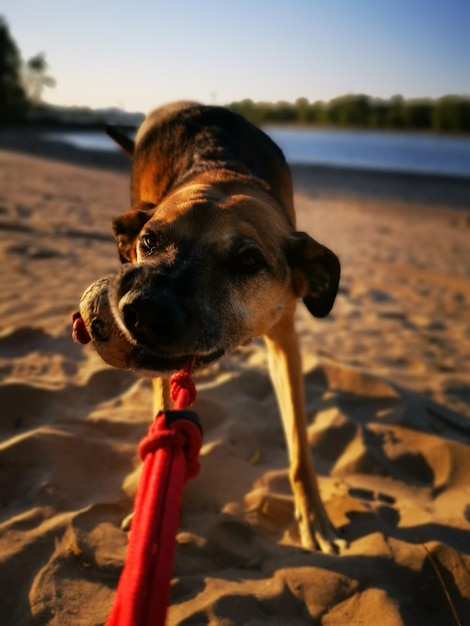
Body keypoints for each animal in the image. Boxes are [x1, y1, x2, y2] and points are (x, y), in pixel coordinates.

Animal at [105, 102, 342, 552]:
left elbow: (300, 442)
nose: (143, 312)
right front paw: (156, 508)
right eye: (150, 241)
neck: (223, 174)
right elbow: (166, 413)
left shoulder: (285, 340)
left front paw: (315, 515)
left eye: (248, 261)